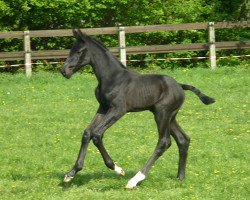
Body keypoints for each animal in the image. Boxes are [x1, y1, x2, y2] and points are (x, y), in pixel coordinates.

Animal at [60, 28, 215, 188]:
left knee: (164, 142)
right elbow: (87, 133)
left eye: (79, 51)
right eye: (71, 50)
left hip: (162, 113)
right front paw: (71, 173)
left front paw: (117, 169)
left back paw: (135, 180)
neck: (112, 78)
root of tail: (180, 85)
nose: (64, 70)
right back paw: (180, 177)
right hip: (170, 116)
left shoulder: (118, 109)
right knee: (183, 139)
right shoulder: (103, 107)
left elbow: (97, 134)